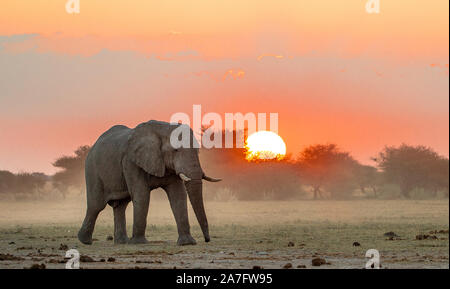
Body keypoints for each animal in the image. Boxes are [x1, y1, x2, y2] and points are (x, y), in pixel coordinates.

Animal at [78, 120, 221, 244]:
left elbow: (178, 196)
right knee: (96, 205)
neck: (162, 129)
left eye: (197, 151)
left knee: (121, 205)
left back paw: (122, 242)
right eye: (175, 150)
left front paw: (187, 243)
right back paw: (85, 241)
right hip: (92, 170)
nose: (207, 240)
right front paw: (139, 243)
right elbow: (142, 195)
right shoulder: (130, 161)